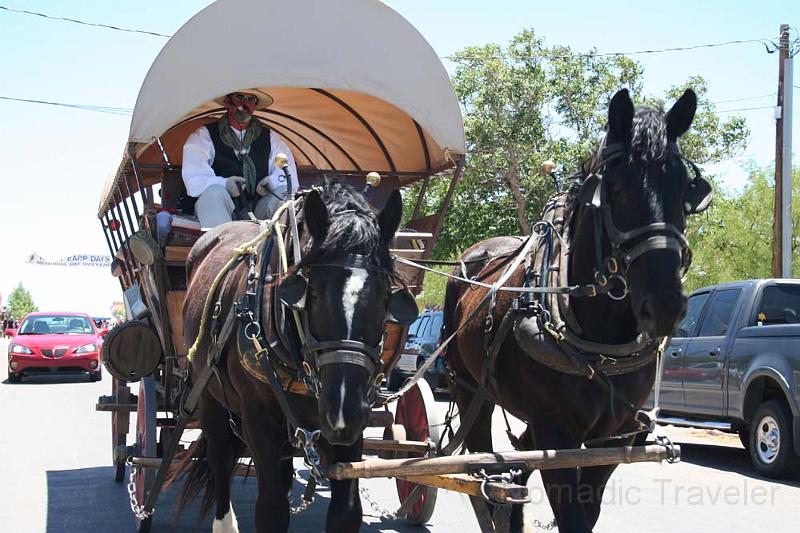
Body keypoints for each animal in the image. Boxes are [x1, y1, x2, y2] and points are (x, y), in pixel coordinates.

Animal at [171, 180, 416, 532]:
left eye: (385, 295)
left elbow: (346, 511)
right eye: (311, 292)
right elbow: (271, 510)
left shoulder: (351, 430)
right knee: (220, 462)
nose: (342, 411)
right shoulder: (258, 421)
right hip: (208, 399)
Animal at [444, 89, 712, 528]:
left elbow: (588, 512)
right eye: (616, 188)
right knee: (486, 472)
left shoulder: (615, 437)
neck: (601, 342)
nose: (666, 306)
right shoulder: (557, 433)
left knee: (516, 468)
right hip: (470, 391)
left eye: (685, 189)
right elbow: (569, 513)